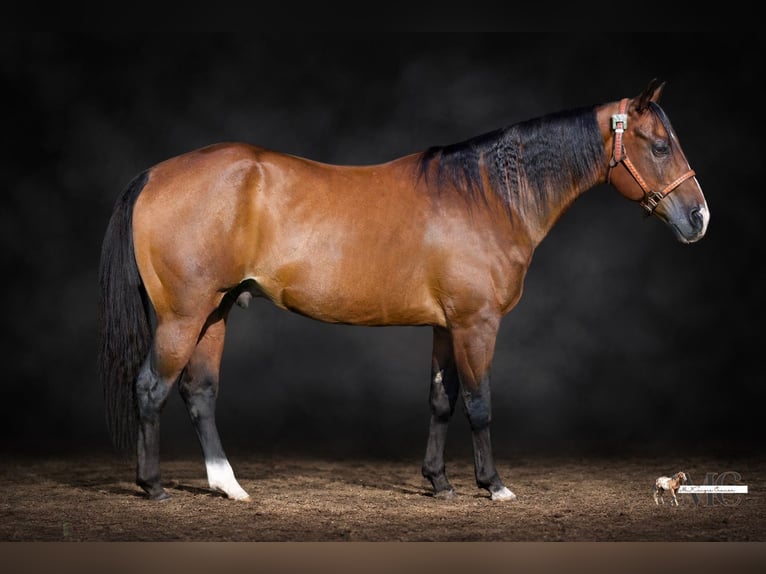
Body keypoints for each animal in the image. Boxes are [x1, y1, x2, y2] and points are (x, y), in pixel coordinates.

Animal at [98, 78, 709, 502]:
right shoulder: (476, 324)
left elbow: (441, 400)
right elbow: (480, 404)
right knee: (151, 388)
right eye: (659, 146)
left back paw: (229, 487)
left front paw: (439, 483)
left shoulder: (445, 325)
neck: (486, 196)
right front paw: (493, 485)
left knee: (199, 393)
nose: (699, 218)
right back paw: (153, 487)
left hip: (216, 312)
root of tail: (153, 174)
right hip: (184, 315)